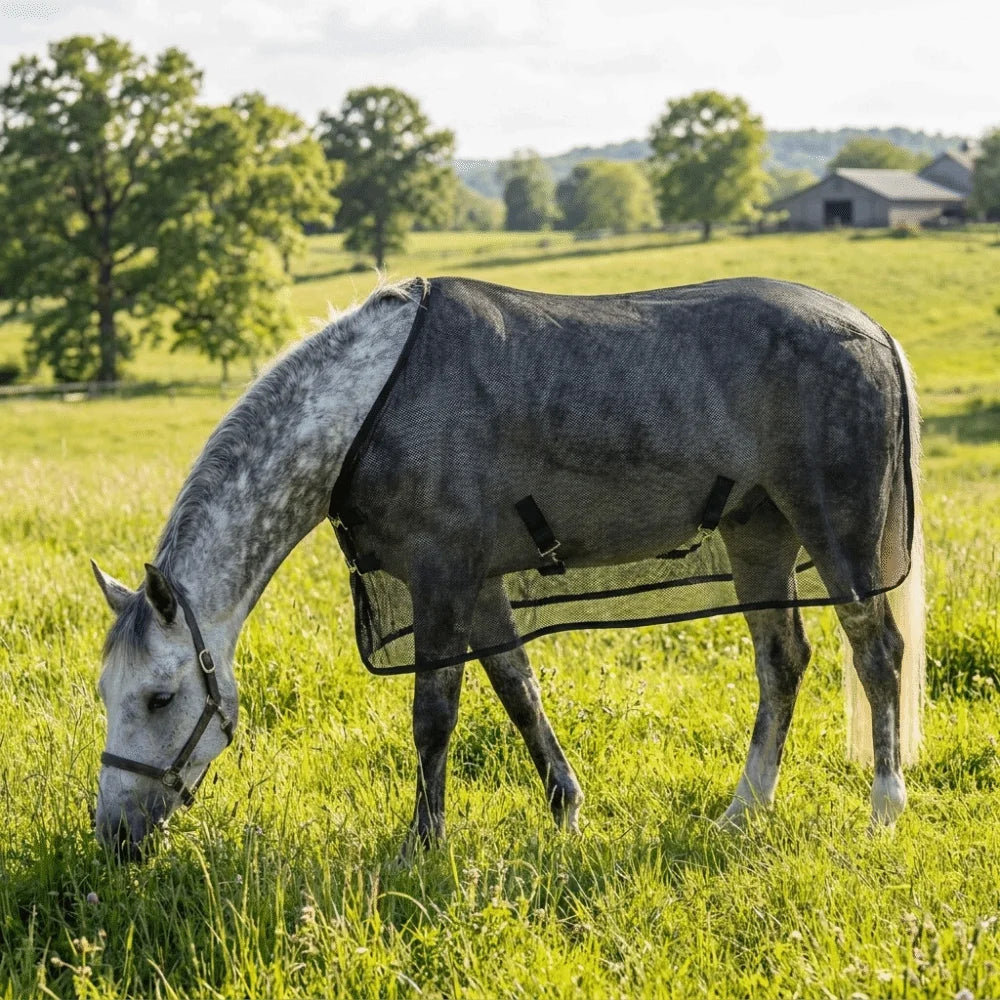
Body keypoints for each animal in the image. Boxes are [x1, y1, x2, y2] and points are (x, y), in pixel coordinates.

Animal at [92, 275, 924, 861]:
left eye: (160, 698)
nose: (114, 837)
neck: (365, 410)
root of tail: (876, 334)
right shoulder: (481, 586)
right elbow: (518, 691)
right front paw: (567, 811)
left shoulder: (440, 580)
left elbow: (433, 715)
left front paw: (421, 846)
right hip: (759, 540)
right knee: (782, 662)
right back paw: (743, 811)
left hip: (838, 536)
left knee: (877, 654)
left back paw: (884, 808)